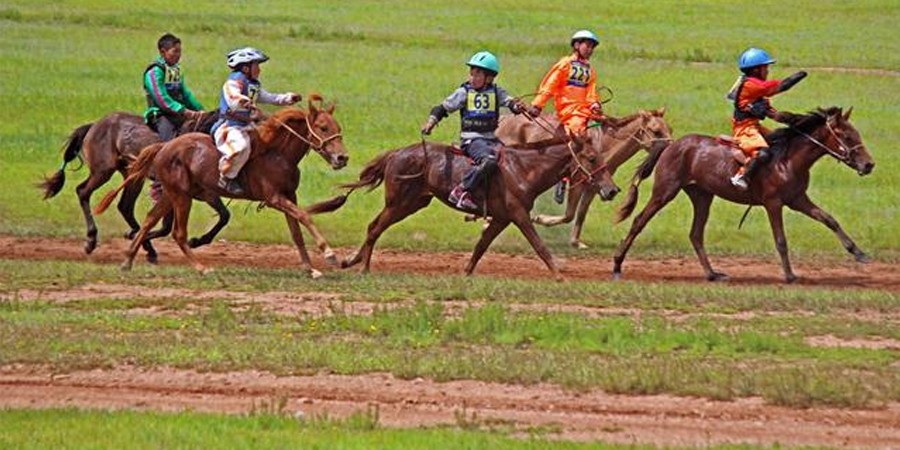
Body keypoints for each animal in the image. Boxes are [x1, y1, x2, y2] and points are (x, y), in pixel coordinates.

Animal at [38, 110, 221, 262]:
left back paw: (144, 245)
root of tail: (94, 125)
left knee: (124, 206)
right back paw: (91, 240)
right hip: (103, 171)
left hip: (132, 176)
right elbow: (167, 226)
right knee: (83, 191)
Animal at [96, 97, 348, 278]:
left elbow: (296, 232)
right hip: (182, 196)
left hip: (172, 194)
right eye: (322, 127)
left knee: (149, 221)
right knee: (178, 232)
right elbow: (305, 216)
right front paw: (329, 254)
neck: (277, 153)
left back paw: (128, 260)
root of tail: (164, 146)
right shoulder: (275, 198)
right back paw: (201, 267)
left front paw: (310, 268)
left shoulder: (289, 196)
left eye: (337, 127)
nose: (342, 158)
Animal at [306, 142, 624, 282]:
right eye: (591, 157)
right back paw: (364, 266)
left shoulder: (502, 218)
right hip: (399, 203)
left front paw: (467, 272)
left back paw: (352, 260)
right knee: (374, 227)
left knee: (375, 225)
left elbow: (481, 245)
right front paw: (558, 274)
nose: (612, 190)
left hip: (412, 203)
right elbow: (539, 245)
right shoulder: (518, 215)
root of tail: (396, 153)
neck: (523, 169)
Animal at [496, 109, 672, 250]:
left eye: (669, 129)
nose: (671, 147)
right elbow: (569, 214)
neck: (604, 146)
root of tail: (503, 120)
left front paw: (576, 242)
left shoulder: (595, 187)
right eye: (656, 131)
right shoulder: (577, 183)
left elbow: (581, 213)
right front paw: (539, 218)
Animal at [612, 107, 872, 284]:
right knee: (639, 221)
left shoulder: (798, 200)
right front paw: (789, 275)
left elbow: (829, 219)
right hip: (665, 191)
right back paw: (616, 265)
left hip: (702, 196)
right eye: (847, 136)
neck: (788, 159)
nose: (869, 164)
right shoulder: (773, 203)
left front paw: (859, 253)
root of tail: (671, 144)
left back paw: (712, 273)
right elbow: (781, 240)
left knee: (696, 234)